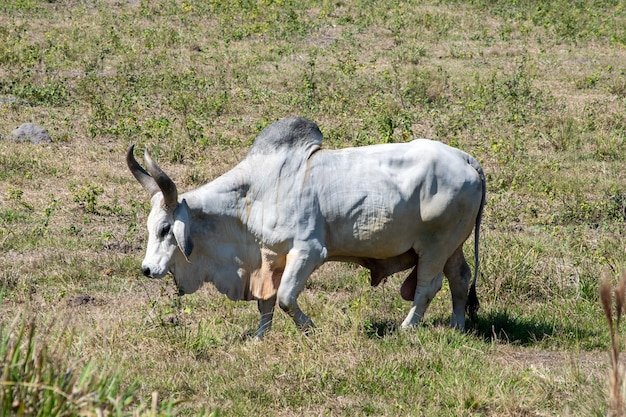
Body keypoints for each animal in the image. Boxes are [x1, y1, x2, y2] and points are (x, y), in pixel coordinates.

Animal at [125, 117, 482, 338]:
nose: (147, 269)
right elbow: (266, 302)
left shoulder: (308, 251)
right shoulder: (269, 258)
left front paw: (310, 329)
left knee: (427, 286)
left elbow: (285, 298)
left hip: (435, 245)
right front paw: (260, 336)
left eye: (165, 229)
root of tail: (466, 159)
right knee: (459, 278)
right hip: (453, 245)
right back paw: (457, 326)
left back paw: (407, 328)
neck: (253, 194)